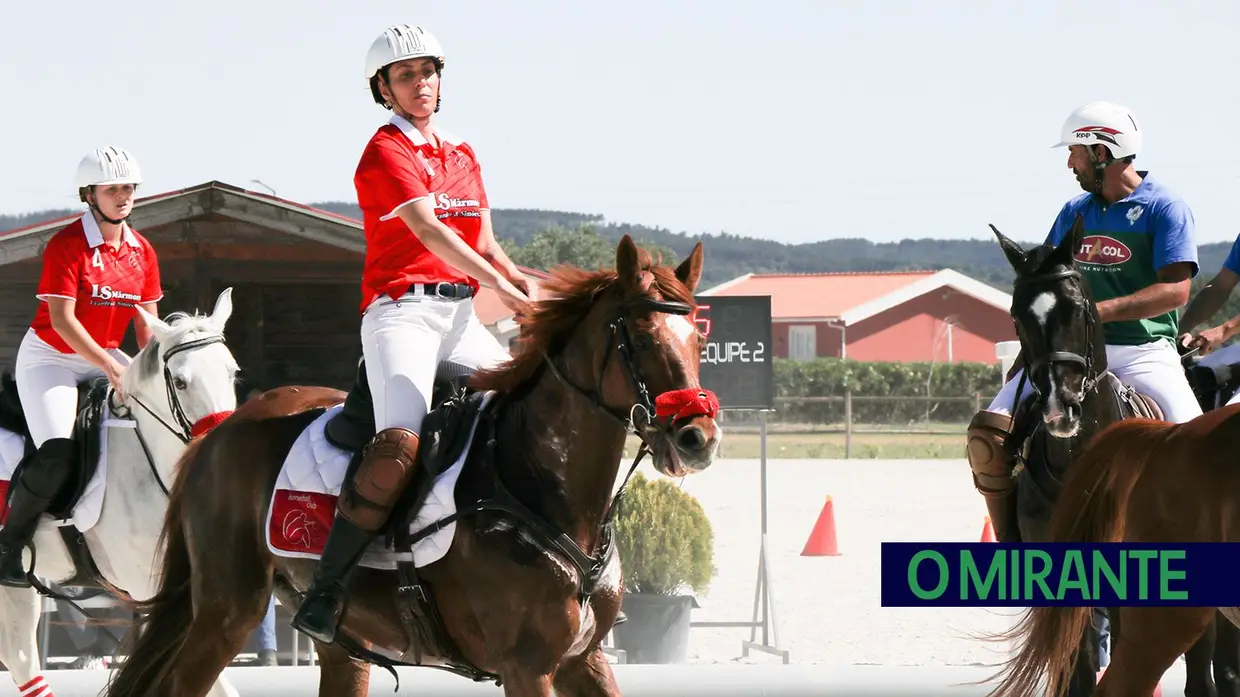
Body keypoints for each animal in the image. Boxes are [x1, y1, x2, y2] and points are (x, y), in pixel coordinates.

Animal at [106, 234, 724, 694]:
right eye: (640, 336)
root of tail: (218, 433)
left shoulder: (583, 662)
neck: (538, 485)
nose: (698, 438)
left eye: (699, 337)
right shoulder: (527, 667)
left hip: (338, 643)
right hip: (227, 609)